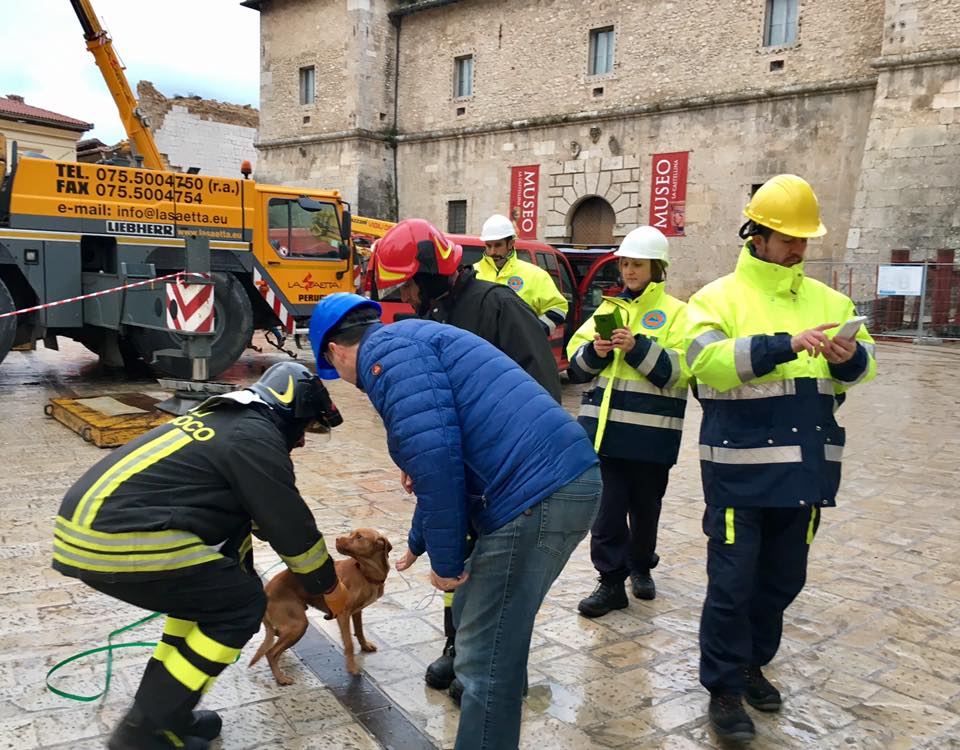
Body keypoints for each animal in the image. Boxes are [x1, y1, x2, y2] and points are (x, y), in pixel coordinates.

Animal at [253, 532, 396, 684]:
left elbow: (359, 631)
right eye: (352, 534)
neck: (366, 573)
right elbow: (349, 644)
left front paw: (365, 646)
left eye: (359, 536)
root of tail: (266, 591)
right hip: (298, 625)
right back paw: (281, 678)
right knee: (271, 652)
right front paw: (352, 668)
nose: (337, 539)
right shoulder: (343, 615)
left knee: (276, 637)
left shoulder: (357, 611)